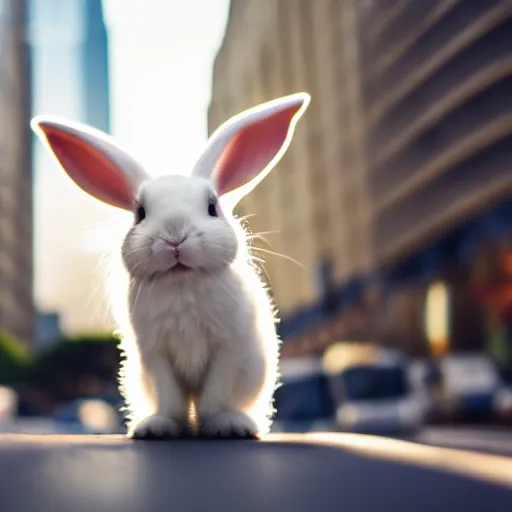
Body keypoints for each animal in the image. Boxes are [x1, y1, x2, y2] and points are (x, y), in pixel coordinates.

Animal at [33, 93, 312, 440]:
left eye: (212, 207)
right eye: (140, 213)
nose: (174, 236)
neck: (183, 282)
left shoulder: (229, 350)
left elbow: (216, 395)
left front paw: (223, 426)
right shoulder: (155, 356)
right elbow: (170, 398)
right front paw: (158, 428)